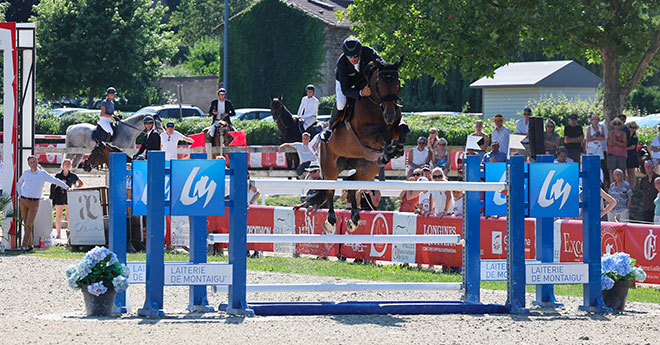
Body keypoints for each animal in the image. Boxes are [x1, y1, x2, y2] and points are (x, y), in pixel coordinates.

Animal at [314, 57, 408, 231]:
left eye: (398, 82)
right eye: (379, 83)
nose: (389, 114)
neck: (376, 104)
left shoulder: (395, 126)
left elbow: (403, 128)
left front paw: (396, 150)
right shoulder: (365, 134)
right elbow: (382, 131)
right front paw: (386, 153)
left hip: (367, 169)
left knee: (350, 182)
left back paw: (354, 218)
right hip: (330, 166)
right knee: (330, 188)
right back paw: (331, 220)